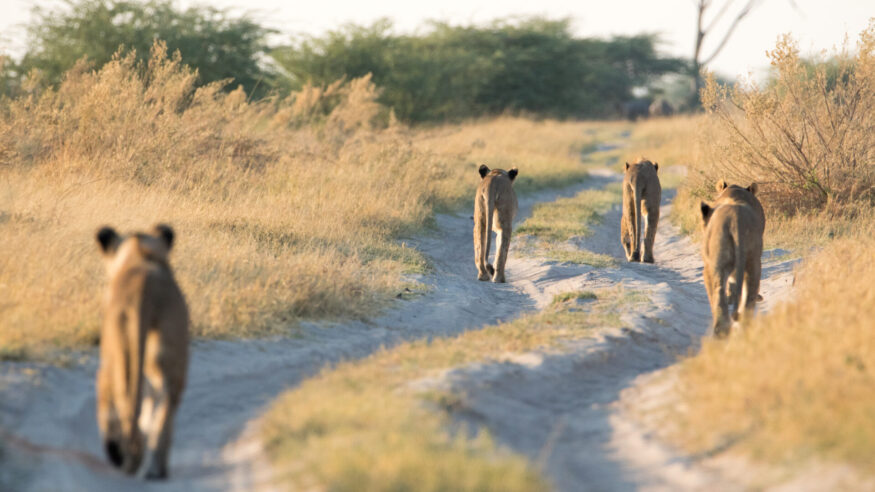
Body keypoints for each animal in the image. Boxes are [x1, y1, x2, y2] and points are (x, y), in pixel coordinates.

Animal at [95, 224, 189, 479]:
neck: (140, 256)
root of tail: (144, 292)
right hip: (167, 359)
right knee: (161, 412)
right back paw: (155, 469)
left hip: (117, 358)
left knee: (124, 408)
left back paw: (126, 458)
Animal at [699, 182, 765, 337]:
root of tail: (736, 221)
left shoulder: (708, 268)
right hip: (753, 261)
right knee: (748, 298)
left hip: (718, 263)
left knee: (718, 292)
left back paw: (721, 331)